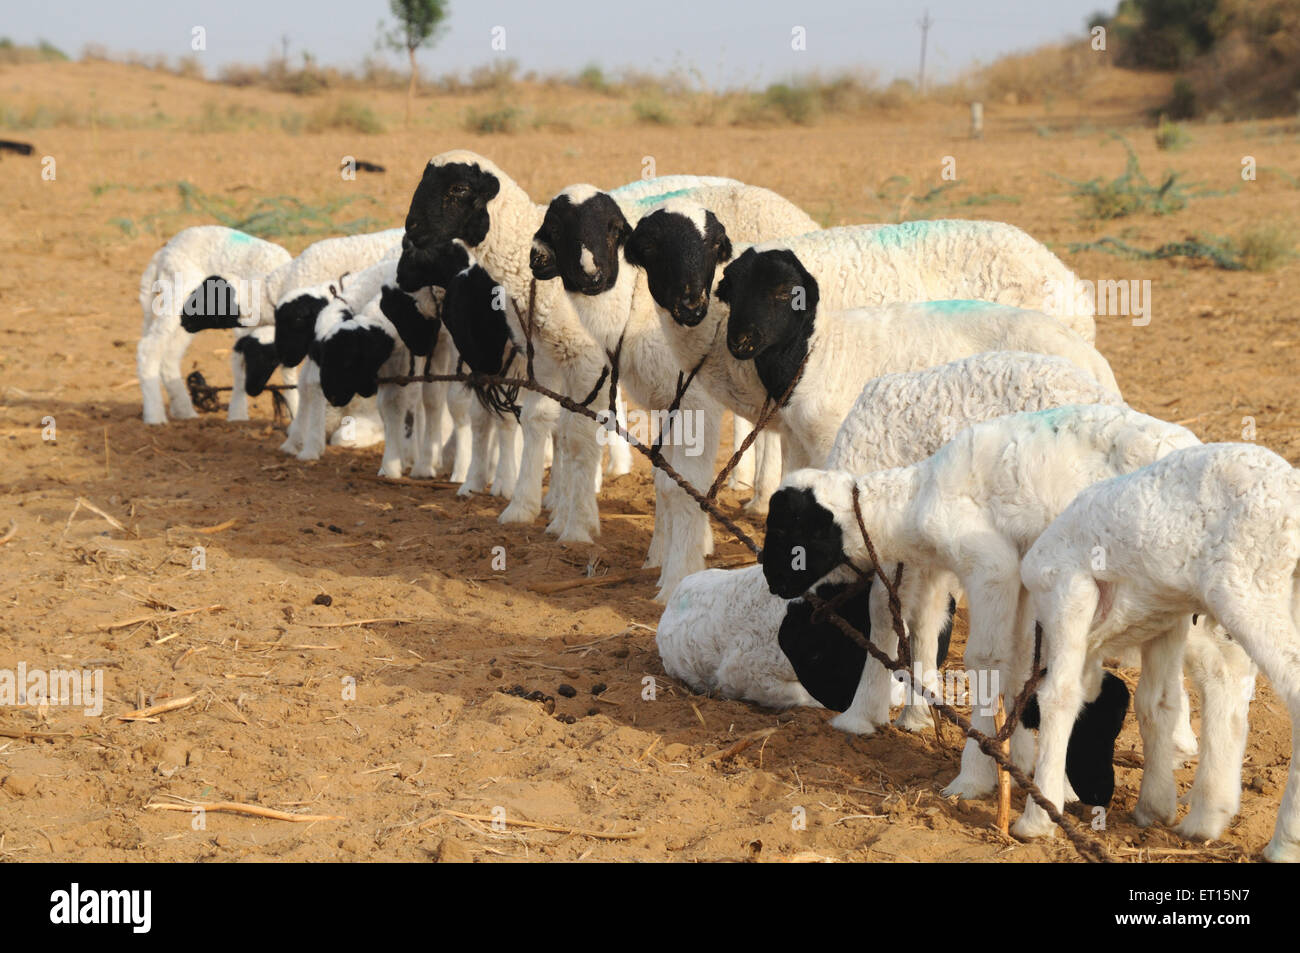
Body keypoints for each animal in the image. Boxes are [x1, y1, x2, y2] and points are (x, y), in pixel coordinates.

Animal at [135, 224, 291, 421]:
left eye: (273, 361)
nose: (254, 390)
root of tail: (163, 252)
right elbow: (239, 366)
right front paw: (238, 416)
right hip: (177, 293)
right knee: (149, 347)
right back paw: (154, 416)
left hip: (186, 318)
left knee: (169, 355)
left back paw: (185, 410)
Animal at [400, 153, 738, 546]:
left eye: (458, 188)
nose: (411, 227)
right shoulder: (546, 356)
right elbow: (543, 422)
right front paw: (528, 507)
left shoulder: (585, 359)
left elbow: (577, 433)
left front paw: (576, 524)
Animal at [764, 403, 1201, 800]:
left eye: (786, 527)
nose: (770, 578)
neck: (914, 503)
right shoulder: (1020, 578)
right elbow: (1019, 664)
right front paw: (1018, 761)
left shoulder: (991, 566)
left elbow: (986, 659)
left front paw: (974, 778)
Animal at [1013, 442, 1300, 858]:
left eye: (1099, 733)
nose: (1101, 793)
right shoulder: (1166, 618)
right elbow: (1158, 704)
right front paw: (1155, 805)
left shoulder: (1069, 589)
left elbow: (1059, 696)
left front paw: (1037, 818)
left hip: (1250, 589)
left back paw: (1285, 843)